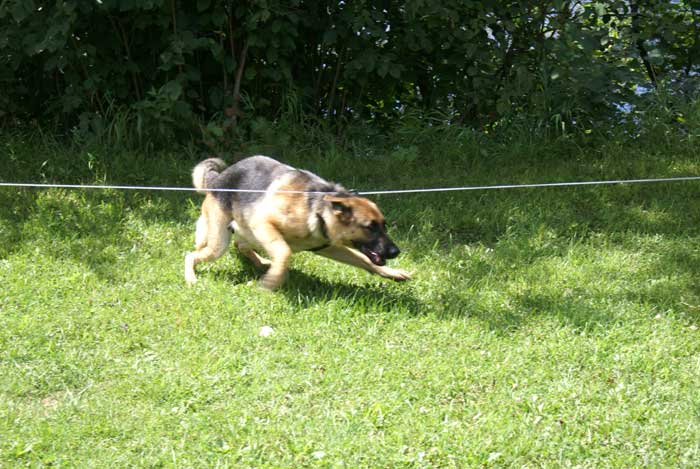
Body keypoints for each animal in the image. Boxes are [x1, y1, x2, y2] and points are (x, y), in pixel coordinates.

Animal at [184, 155, 411, 289]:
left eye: (384, 225)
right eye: (370, 227)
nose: (396, 252)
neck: (317, 210)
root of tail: (218, 179)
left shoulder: (328, 248)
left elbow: (365, 260)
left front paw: (392, 273)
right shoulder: (263, 223)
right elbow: (285, 252)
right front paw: (272, 281)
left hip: (247, 233)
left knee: (241, 245)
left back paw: (261, 262)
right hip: (220, 244)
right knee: (191, 255)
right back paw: (191, 278)